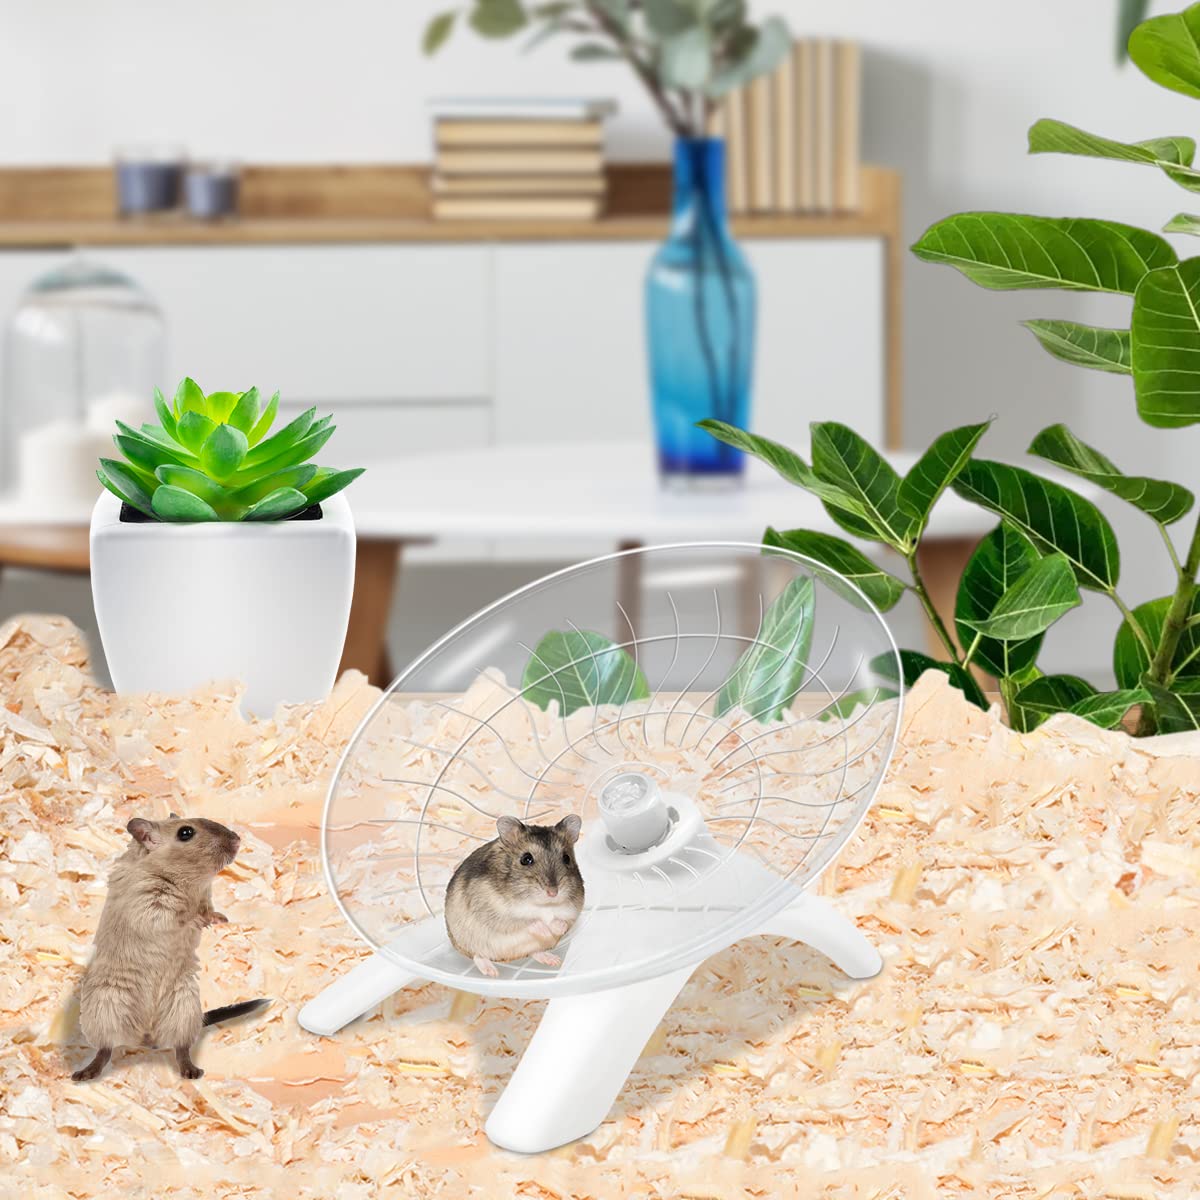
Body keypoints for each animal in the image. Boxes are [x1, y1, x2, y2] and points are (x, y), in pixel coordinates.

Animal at [72, 813, 270, 1082]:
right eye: (185, 833)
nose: (238, 840)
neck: (189, 883)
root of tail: (145, 1036)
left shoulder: (205, 896)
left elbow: (208, 910)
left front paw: (221, 919)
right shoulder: (149, 904)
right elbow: (178, 917)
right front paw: (198, 921)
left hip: (183, 1007)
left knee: (181, 1048)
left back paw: (191, 1071)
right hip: (104, 1008)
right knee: (105, 1049)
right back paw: (84, 1073)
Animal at [443, 814, 585, 977]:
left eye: (566, 858)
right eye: (526, 859)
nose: (553, 893)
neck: (543, 905)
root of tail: (506, 959)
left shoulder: (573, 912)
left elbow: (563, 921)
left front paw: (557, 929)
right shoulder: (499, 914)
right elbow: (528, 921)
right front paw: (545, 929)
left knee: (534, 952)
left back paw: (553, 960)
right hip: (467, 941)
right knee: (478, 956)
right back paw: (492, 972)